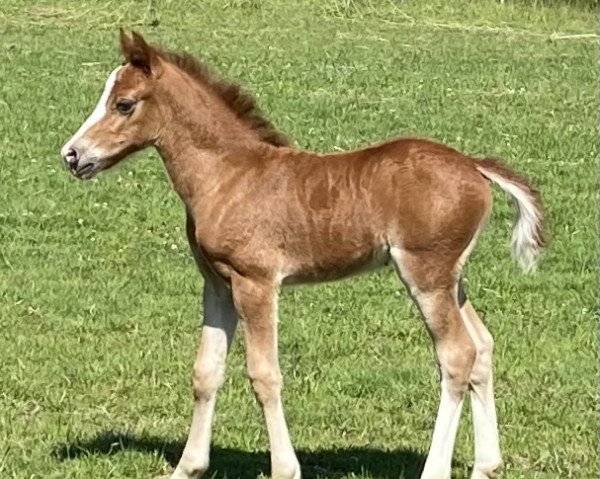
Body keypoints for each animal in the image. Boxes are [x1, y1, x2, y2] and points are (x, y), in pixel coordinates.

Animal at [59, 31, 544, 479]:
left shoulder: (255, 282)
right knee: (483, 346)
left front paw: (284, 468)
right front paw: (187, 468)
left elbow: (264, 374)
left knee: (457, 354)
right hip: (452, 278)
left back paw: (435, 469)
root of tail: (474, 166)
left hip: (425, 273)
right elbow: (205, 371)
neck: (228, 174)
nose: (72, 155)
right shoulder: (217, 283)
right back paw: (486, 465)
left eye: (124, 104)